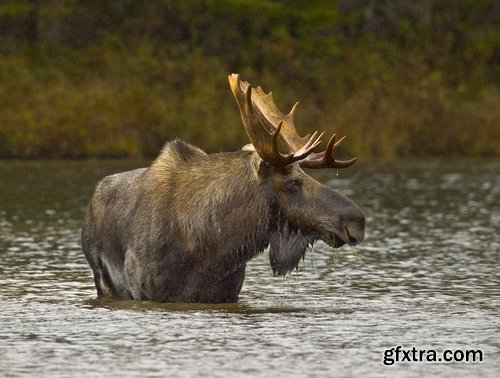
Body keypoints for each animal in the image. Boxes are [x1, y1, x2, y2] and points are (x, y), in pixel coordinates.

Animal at [81, 74, 364, 302]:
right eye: (293, 182)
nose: (357, 221)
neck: (215, 245)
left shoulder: (227, 293)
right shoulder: (147, 291)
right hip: (102, 278)